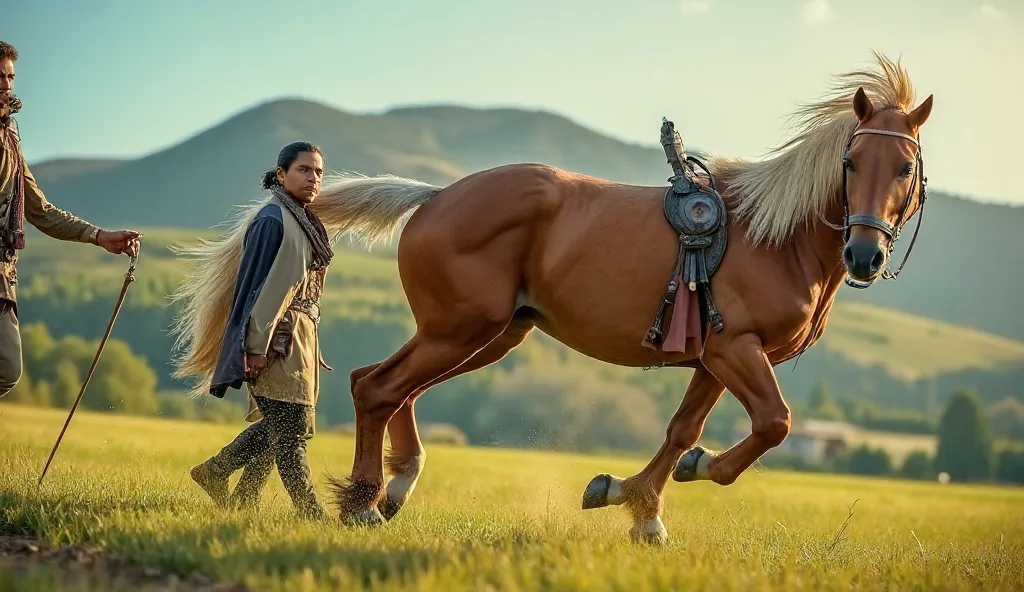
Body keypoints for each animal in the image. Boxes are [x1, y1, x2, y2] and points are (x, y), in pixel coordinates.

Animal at [272, 54, 937, 540]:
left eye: (906, 167)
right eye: (852, 162)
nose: (865, 256)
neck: (776, 237)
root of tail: (434, 196)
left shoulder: (714, 359)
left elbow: (681, 431)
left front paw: (635, 502)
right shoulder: (736, 352)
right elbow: (773, 423)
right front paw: (688, 476)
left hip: (490, 334)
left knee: (389, 386)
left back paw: (396, 488)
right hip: (459, 330)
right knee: (379, 388)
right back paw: (364, 502)